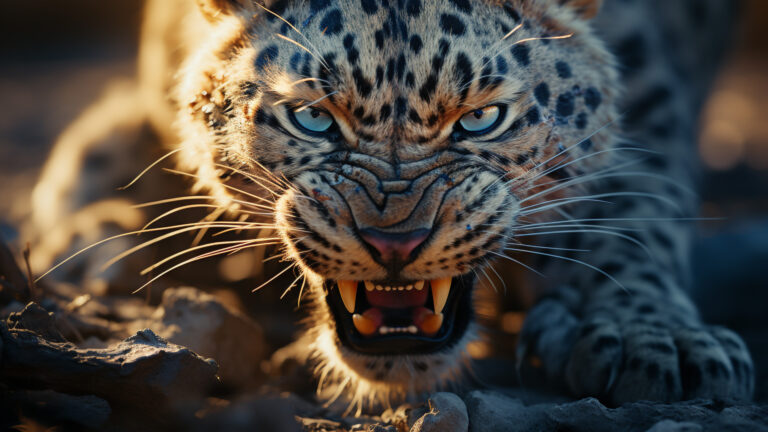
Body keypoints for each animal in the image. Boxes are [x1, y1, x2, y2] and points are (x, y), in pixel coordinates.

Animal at [25, 0, 756, 414]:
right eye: (314, 120)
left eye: (481, 119)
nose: (396, 244)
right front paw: (89, 241)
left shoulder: (648, 87)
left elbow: (637, 209)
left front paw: (652, 335)